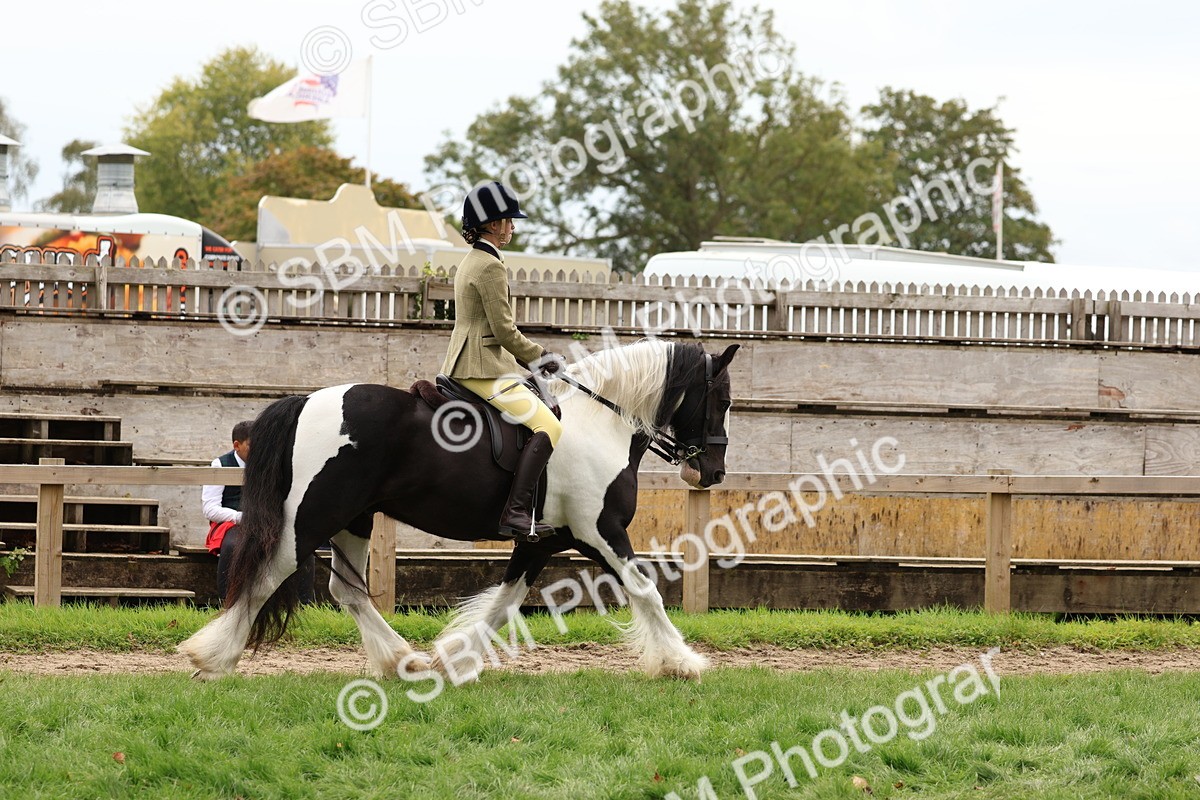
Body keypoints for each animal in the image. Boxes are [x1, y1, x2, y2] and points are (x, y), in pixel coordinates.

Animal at [179, 338, 739, 682]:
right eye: (723, 400)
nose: (711, 472)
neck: (600, 421)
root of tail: (307, 401)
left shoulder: (543, 540)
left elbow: (504, 603)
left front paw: (456, 659)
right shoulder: (599, 531)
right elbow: (646, 591)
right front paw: (682, 662)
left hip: (355, 519)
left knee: (347, 591)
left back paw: (402, 660)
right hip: (314, 514)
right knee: (269, 571)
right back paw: (214, 657)